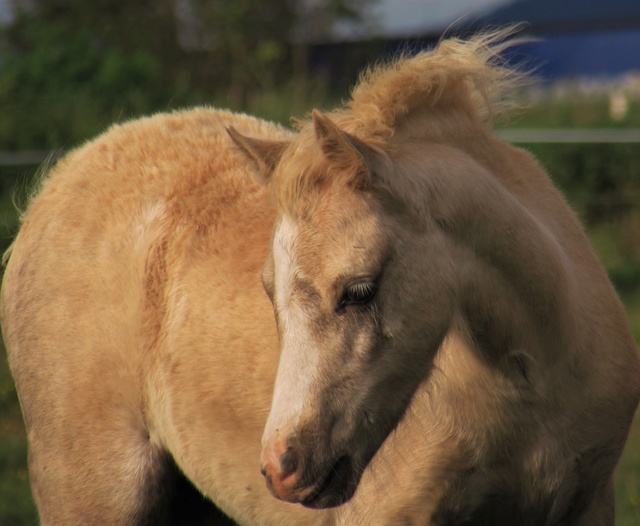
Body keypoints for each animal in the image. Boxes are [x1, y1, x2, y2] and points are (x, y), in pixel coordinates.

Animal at [1, 29, 640, 526]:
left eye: (359, 290)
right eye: (269, 293)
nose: (283, 468)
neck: (534, 385)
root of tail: (59, 181)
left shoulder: (589, 503)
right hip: (93, 489)